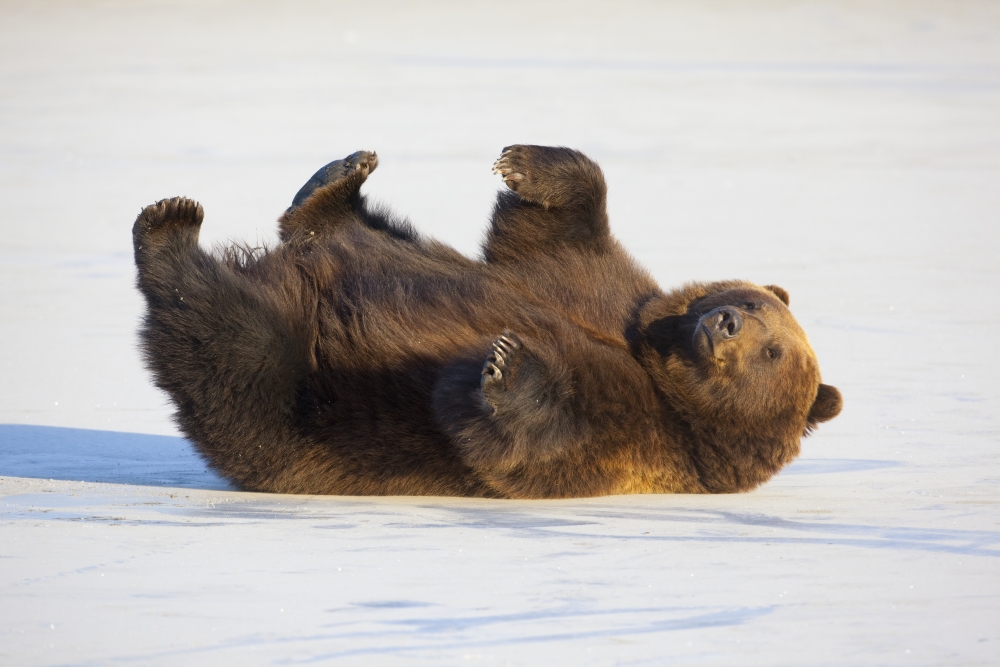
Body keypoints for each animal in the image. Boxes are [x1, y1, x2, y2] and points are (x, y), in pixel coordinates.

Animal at [132, 145, 842, 498]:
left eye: (775, 354)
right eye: (757, 306)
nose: (725, 322)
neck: (658, 369)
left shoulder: (637, 437)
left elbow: (527, 441)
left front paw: (507, 362)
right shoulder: (602, 296)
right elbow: (553, 240)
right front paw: (527, 162)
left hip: (306, 402)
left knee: (229, 343)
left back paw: (171, 229)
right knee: (348, 232)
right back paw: (336, 178)